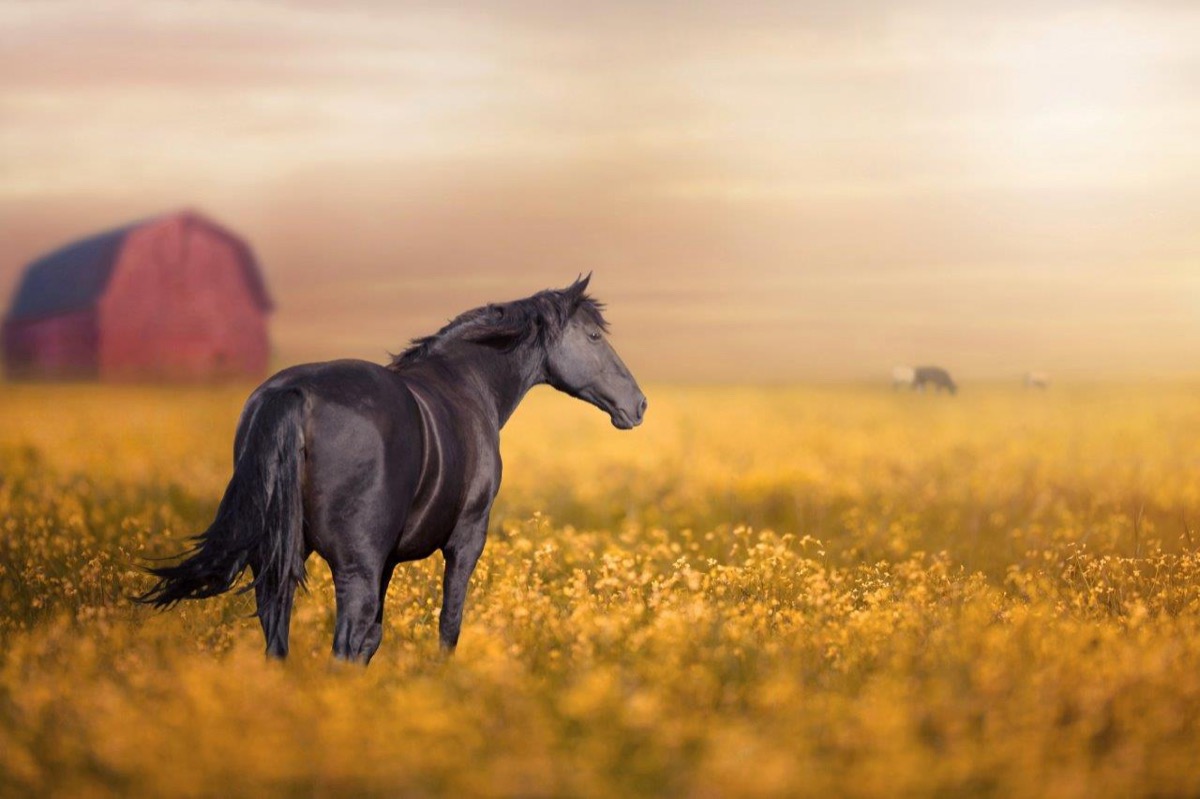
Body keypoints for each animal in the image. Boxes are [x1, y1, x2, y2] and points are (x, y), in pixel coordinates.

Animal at [137, 276, 646, 664]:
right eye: (595, 337)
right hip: (353, 567)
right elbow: (447, 625)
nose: (638, 404)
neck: (468, 384)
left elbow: (374, 639)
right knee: (342, 641)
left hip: (279, 557)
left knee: (277, 635)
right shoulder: (466, 539)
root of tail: (293, 393)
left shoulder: (386, 560)